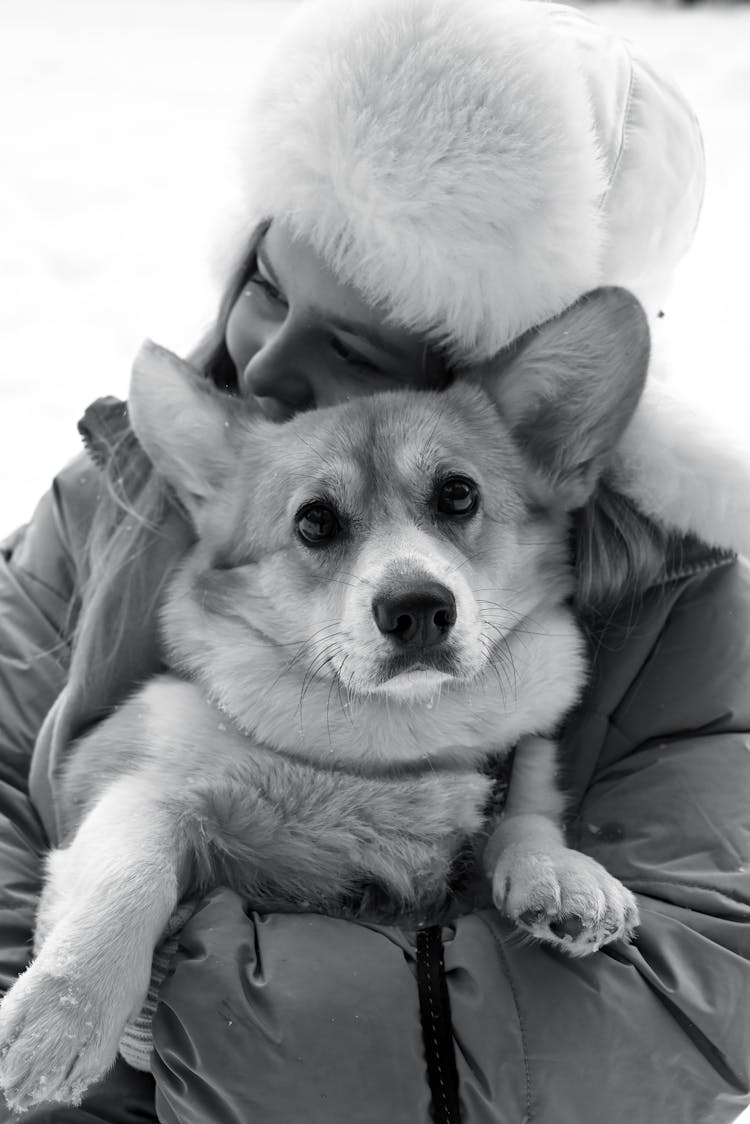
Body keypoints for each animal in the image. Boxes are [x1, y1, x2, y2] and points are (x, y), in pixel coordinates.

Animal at [0, 285, 647, 1110]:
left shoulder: (511, 778)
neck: (385, 747)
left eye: (458, 494)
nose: (417, 608)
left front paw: (562, 874)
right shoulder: (129, 784)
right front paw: (64, 1011)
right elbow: (129, 872)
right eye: (315, 520)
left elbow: (524, 822)